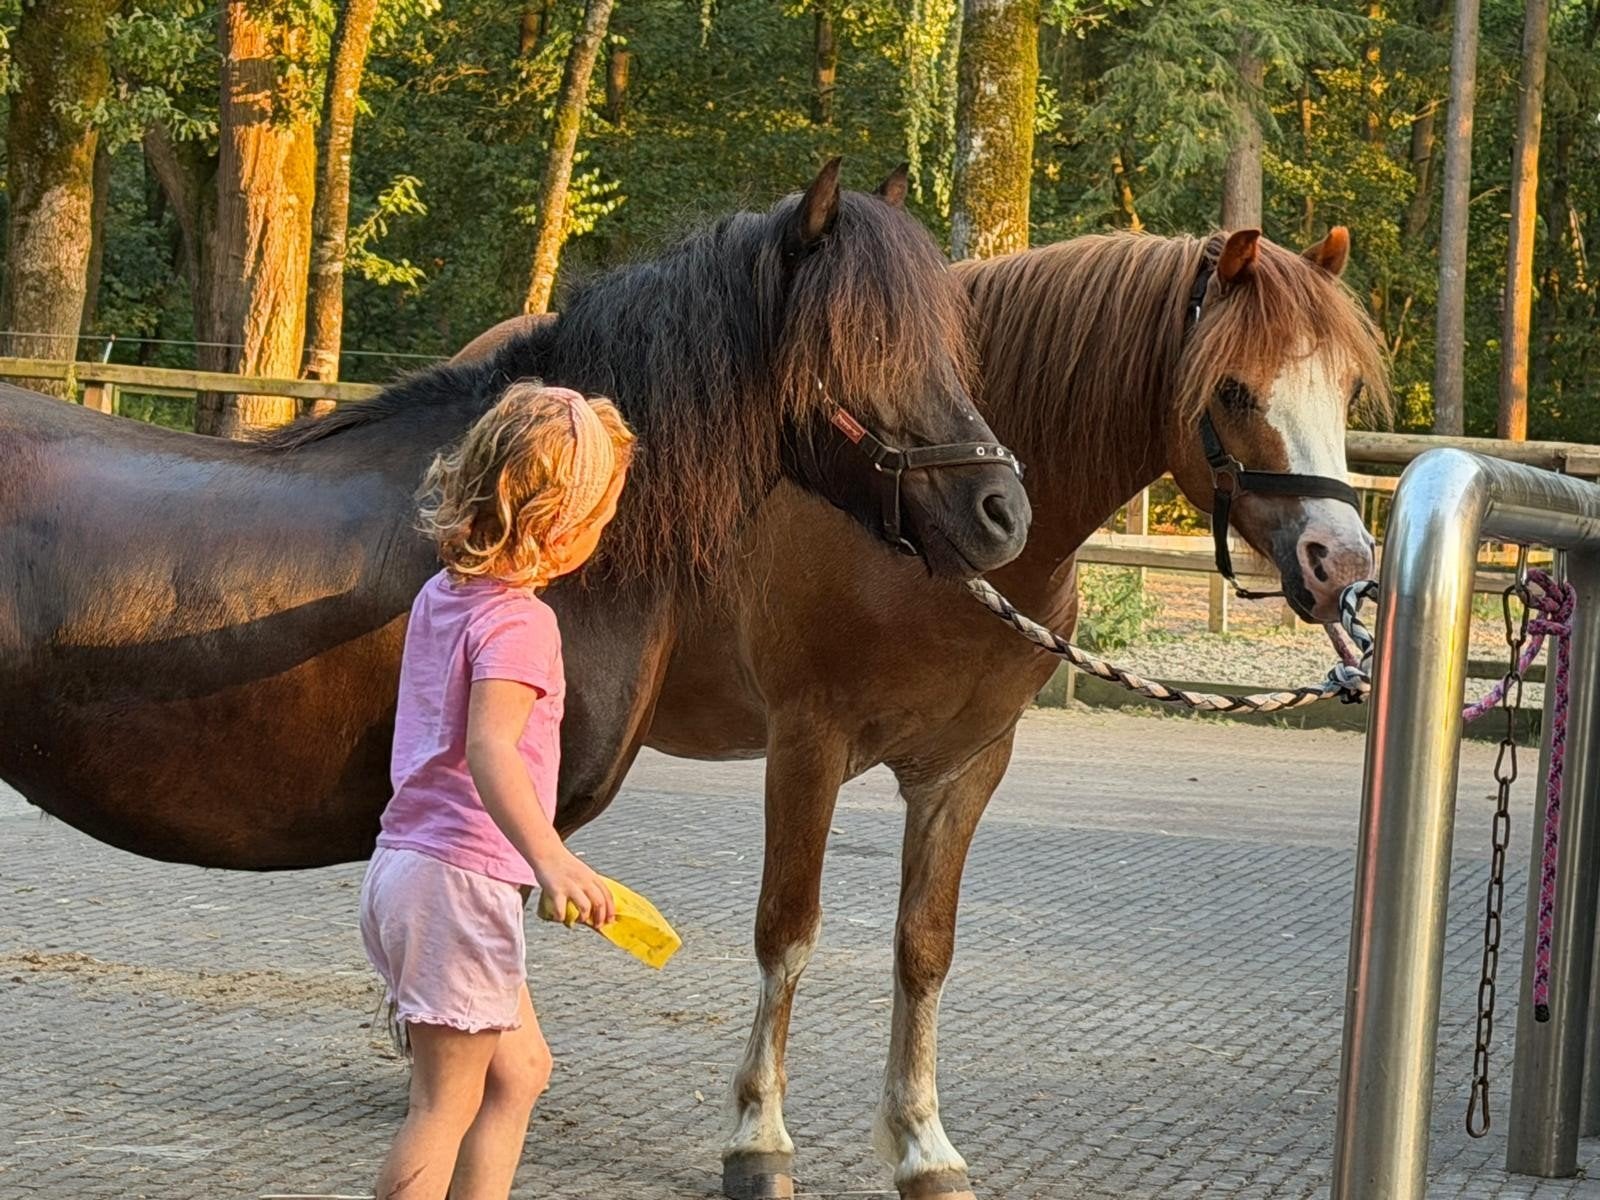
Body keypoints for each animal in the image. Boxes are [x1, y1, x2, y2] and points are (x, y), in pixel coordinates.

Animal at [630, 226, 1387, 1200]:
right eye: (1231, 389)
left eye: (1344, 387)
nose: (1343, 563)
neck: (916, 526)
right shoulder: (806, 746)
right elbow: (786, 933)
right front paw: (759, 1139)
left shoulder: (968, 766)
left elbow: (925, 949)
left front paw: (923, 1145)